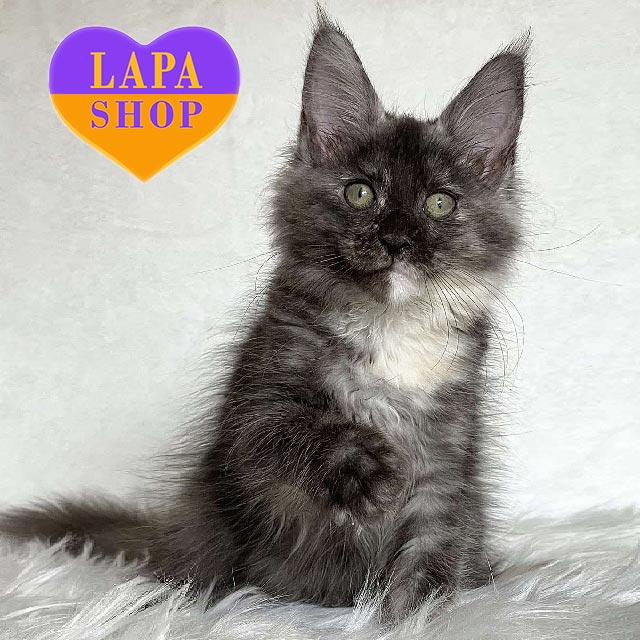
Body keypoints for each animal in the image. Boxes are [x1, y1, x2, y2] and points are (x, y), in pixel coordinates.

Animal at [0, 12, 527, 622]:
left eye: (440, 204)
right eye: (360, 193)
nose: (395, 240)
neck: (390, 328)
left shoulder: (450, 457)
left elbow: (435, 545)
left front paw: (412, 614)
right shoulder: (254, 410)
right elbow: (296, 432)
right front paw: (369, 466)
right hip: (206, 513)